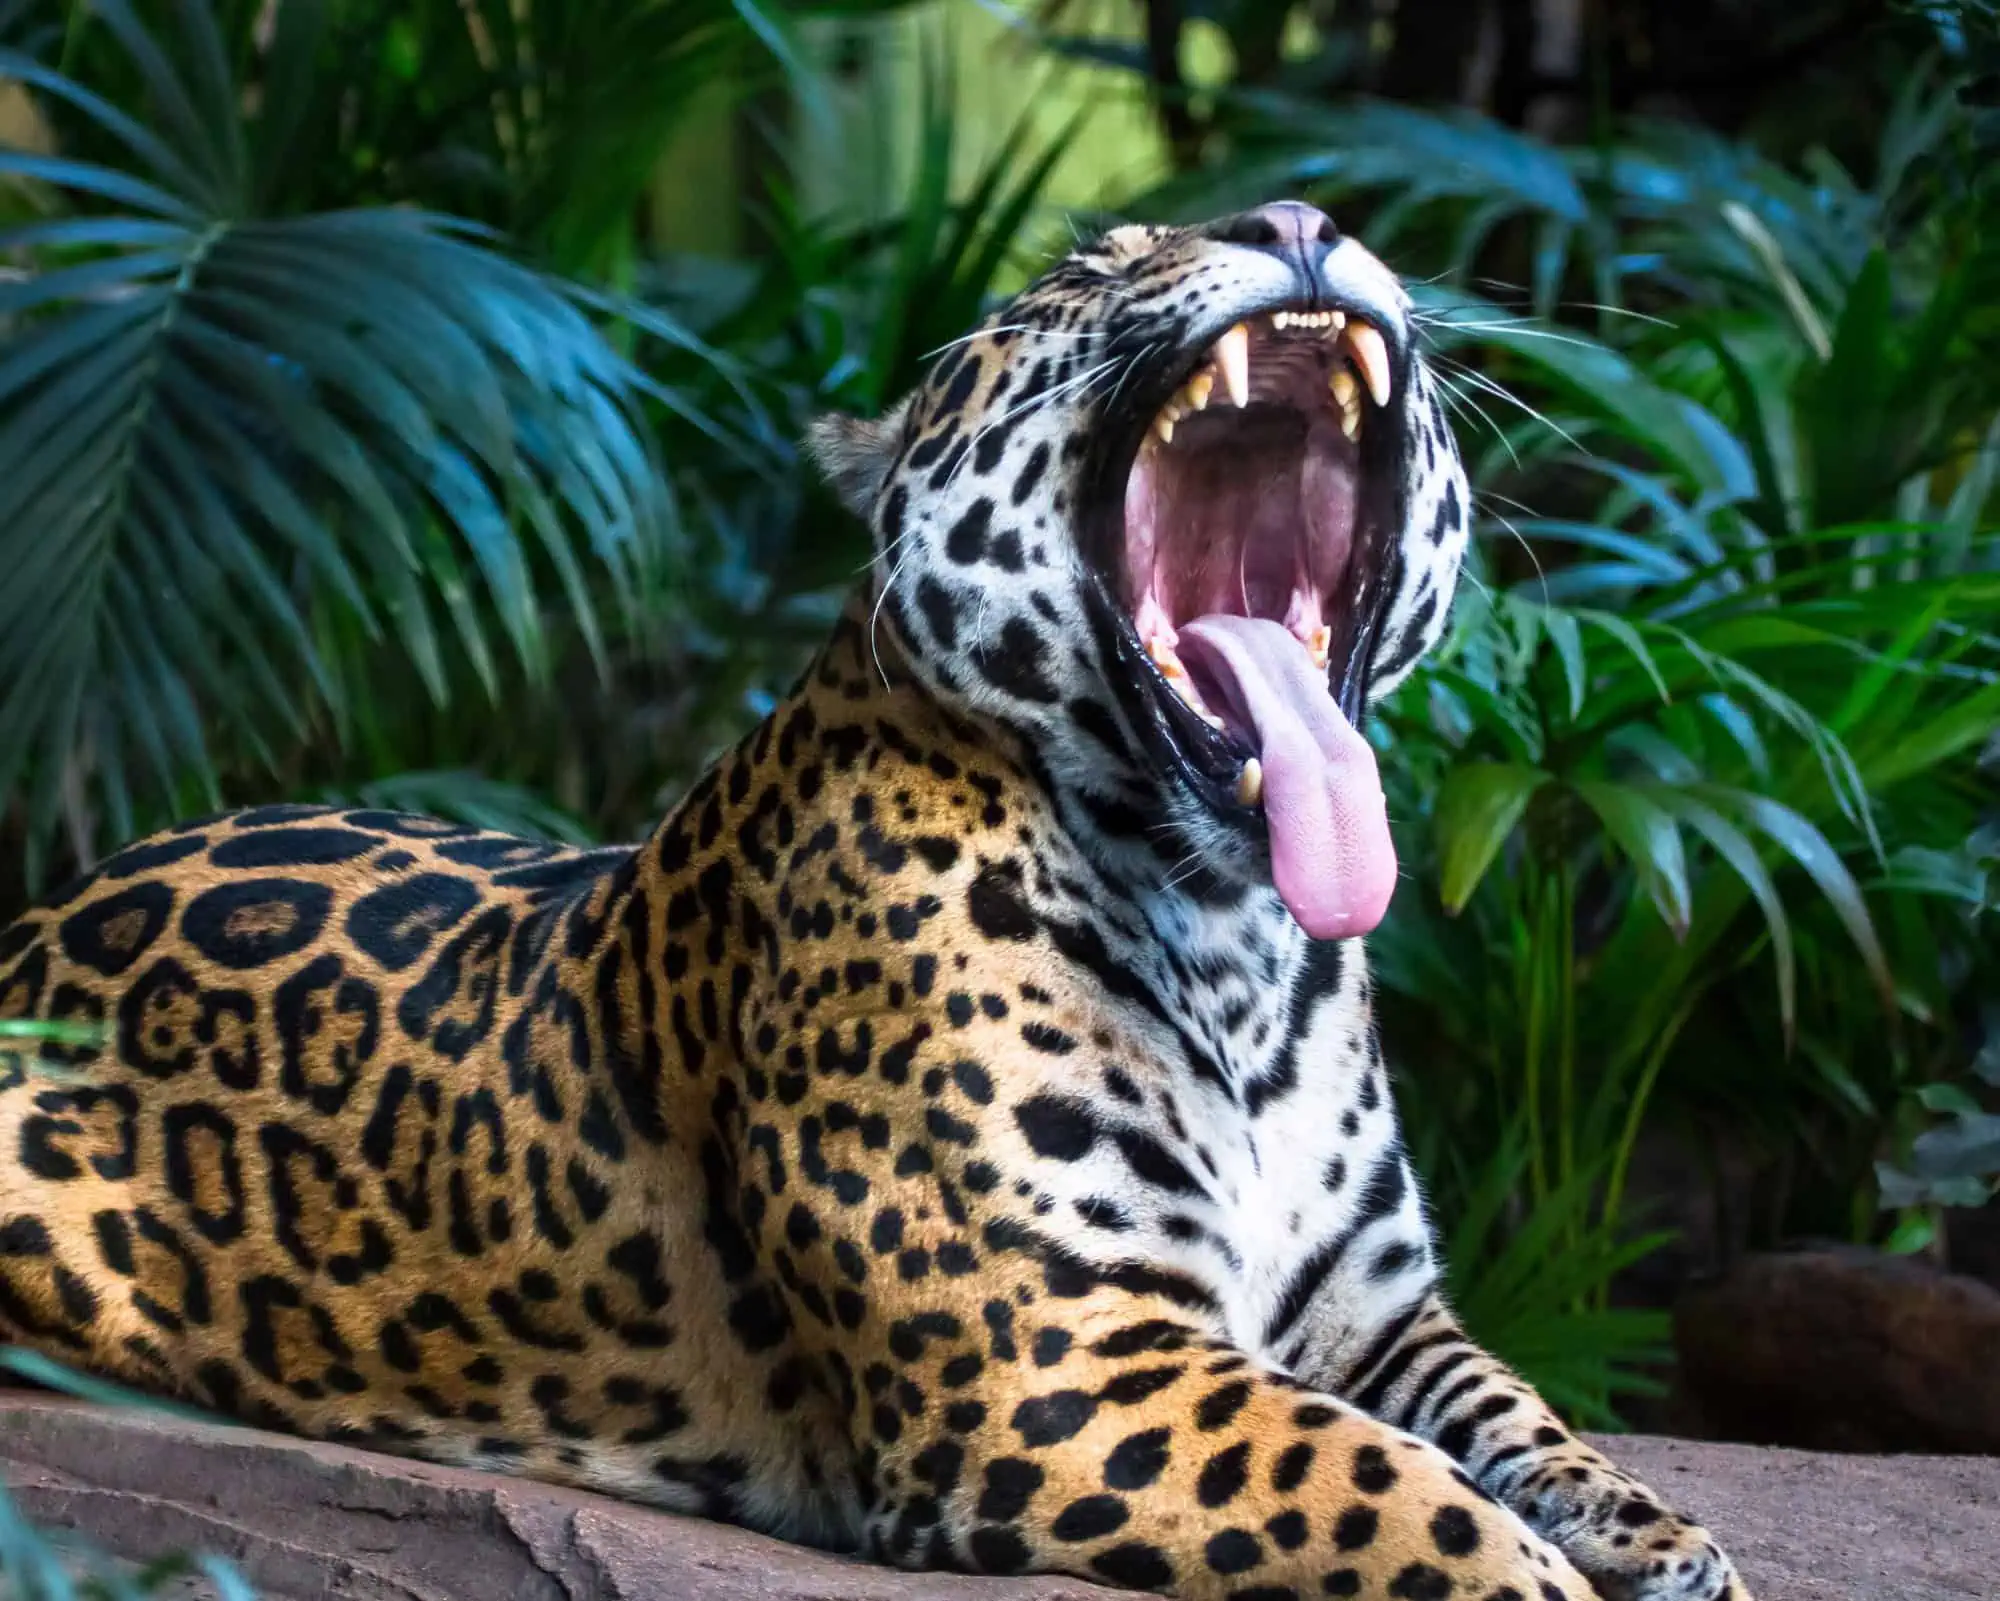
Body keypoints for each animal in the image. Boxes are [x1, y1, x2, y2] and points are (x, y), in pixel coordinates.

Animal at [0, 201, 1751, 1601]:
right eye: (1088, 264)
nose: (1305, 220)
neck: (1240, 935)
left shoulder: (1380, 1318)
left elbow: (1525, 1425)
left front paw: (1669, 1544)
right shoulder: (1057, 1362)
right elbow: (1391, 1491)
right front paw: (1542, 1578)